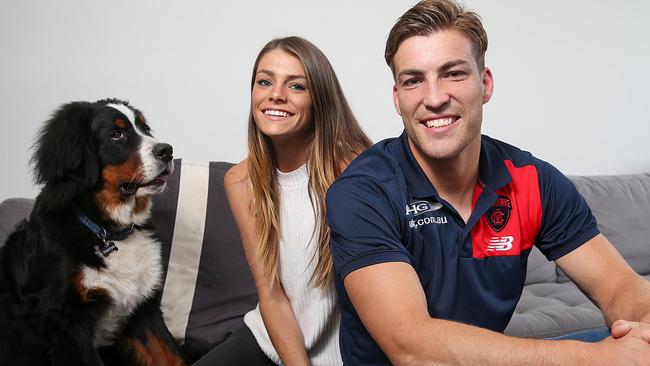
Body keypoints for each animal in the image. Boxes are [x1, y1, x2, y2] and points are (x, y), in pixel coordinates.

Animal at [0, 98, 185, 364]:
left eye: (145, 128)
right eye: (117, 134)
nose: (167, 151)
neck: (109, 231)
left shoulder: (143, 309)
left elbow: (172, 355)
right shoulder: (67, 322)